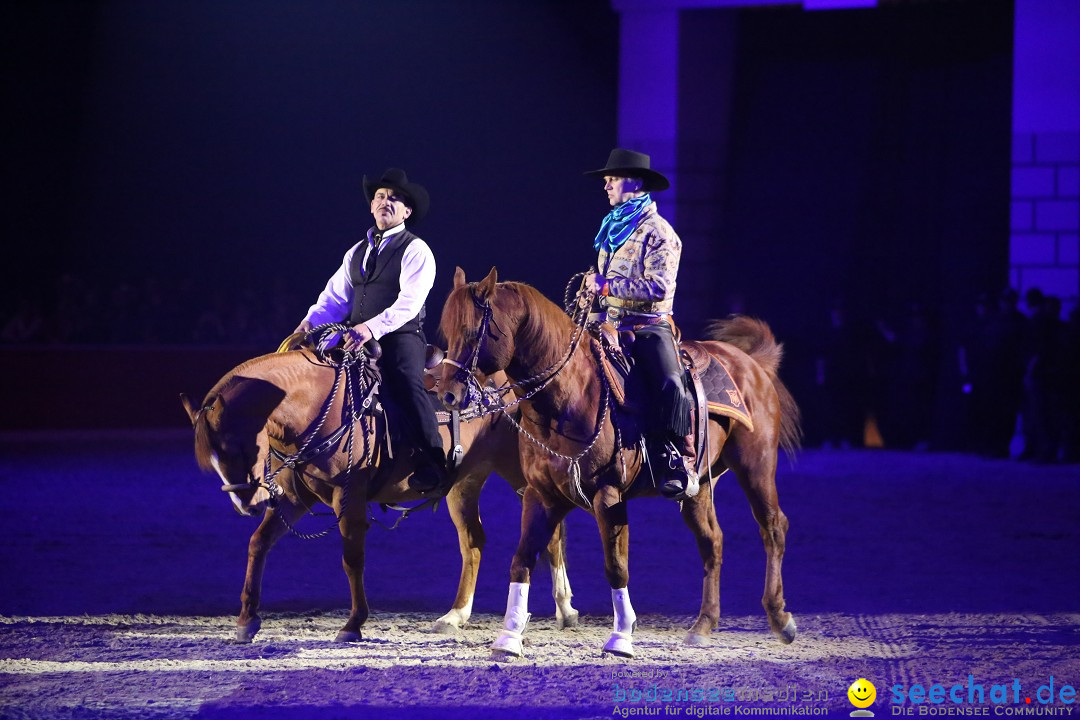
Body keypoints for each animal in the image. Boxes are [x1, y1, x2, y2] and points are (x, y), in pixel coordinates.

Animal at [180, 347, 578, 643]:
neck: (320, 410)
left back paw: (565, 608)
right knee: (473, 542)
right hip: (463, 483)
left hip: (521, 474)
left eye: (235, 447)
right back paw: (455, 615)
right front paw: (247, 619)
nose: (246, 503)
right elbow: (258, 544)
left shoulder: (350, 500)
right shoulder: (294, 500)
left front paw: (353, 624)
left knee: (551, 535)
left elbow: (352, 559)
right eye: (210, 458)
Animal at [438, 268, 803, 660]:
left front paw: (621, 637)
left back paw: (780, 618)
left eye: (472, 331)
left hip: (756, 464)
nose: (447, 394)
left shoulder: (609, 495)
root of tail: (752, 366)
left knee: (773, 527)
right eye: (447, 332)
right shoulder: (541, 494)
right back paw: (703, 625)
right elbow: (521, 560)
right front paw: (508, 637)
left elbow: (616, 567)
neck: (570, 394)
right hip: (699, 486)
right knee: (712, 541)